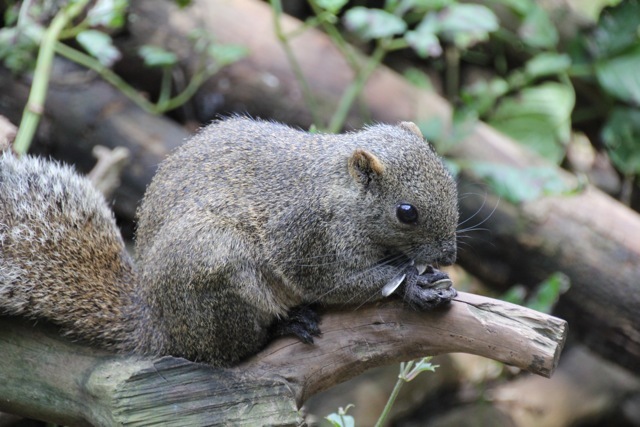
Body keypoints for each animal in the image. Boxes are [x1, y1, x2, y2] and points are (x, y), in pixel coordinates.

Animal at [0, 118, 460, 368]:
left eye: (450, 180)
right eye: (406, 211)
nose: (450, 255)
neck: (338, 191)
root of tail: (157, 323)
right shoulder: (304, 237)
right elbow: (336, 283)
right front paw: (412, 284)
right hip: (217, 264)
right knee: (230, 352)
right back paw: (284, 325)